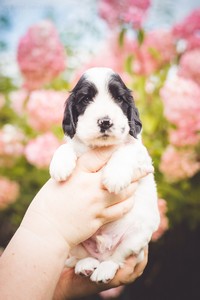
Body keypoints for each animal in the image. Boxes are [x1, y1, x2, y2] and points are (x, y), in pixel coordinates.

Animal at [49, 67, 159, 284]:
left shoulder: (142, 156)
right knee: (81, 256)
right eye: (85, 99)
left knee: (117, 258)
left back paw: (104, 270)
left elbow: (126, 151)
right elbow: (67, 146)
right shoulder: (76, 143)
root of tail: (102, 251)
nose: (105, 122)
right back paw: (86, 265)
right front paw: (60, 164)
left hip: (137, 237)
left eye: (119, 98)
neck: (99, 146)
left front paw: (115, 176)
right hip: (75, 239)